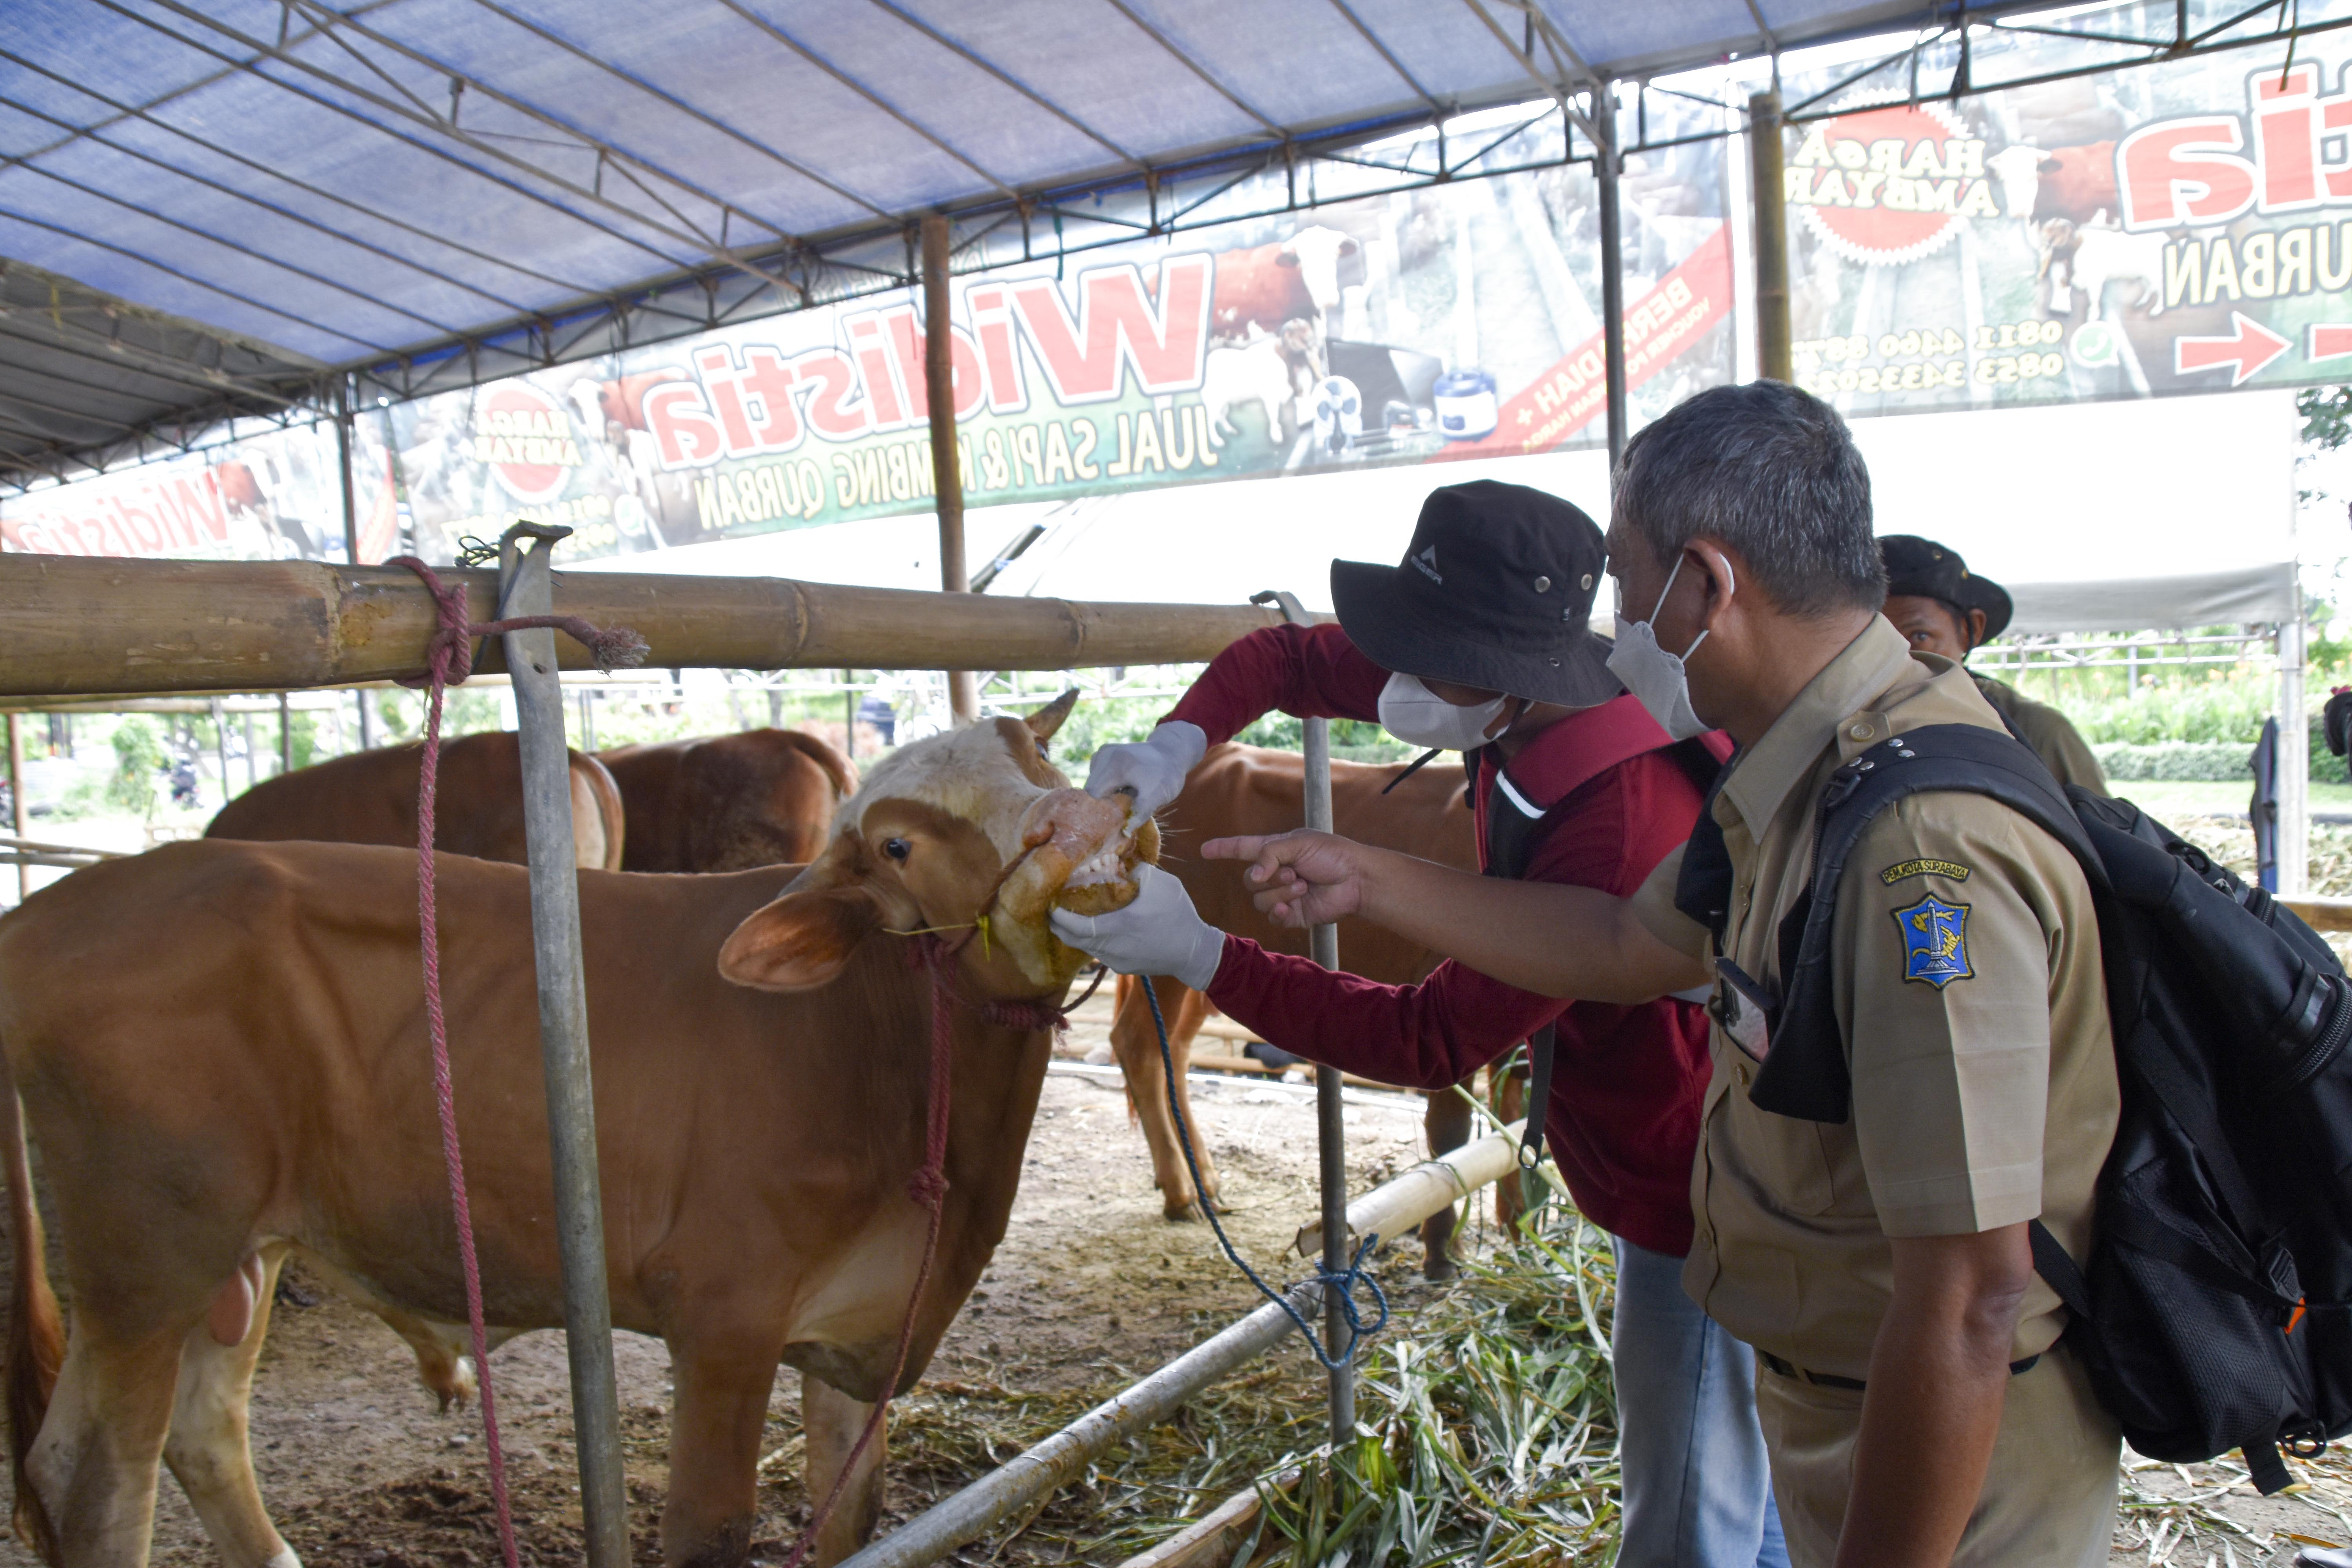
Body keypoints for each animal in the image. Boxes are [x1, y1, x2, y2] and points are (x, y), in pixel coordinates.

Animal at [1101, 748, 1505, 1279]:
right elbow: (1452, 1131)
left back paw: (1204, 1178)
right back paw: (1181, 1191)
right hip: (1168, 969)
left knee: (1177, 1054)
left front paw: (1517, 1224)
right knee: (1140, 1045)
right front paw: (1442, 1248)